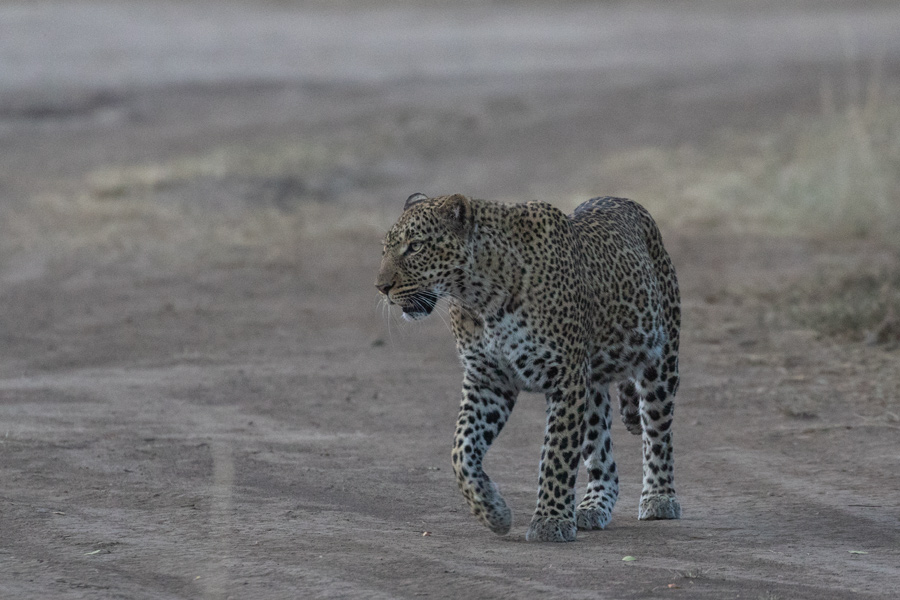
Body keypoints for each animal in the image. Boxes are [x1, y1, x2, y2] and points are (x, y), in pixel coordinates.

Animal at [375, 192, 682, 542]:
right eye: (385, 249)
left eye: (415, 246)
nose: (381, 287)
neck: (480, 298)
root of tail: (628, 203)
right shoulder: (488, 380)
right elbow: (461, 450)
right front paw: (493, 510)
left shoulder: (565, 377)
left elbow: (557, 453)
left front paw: (550, 520)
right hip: (592, 387)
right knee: (600, 452)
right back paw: (593, 506)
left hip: (659, 363)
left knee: (657, 434)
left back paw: (659, 498)